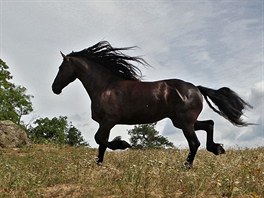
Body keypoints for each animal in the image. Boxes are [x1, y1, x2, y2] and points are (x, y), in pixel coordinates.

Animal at [52, 41, 252, 168]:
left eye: (61, 68)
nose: (55, 88)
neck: (105, 87)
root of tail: (196, 88)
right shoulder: (105, 123)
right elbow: (101, 144)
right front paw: (99, 165)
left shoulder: (109, 121)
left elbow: (99, 139)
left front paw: (123, 144)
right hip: (182, 122)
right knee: (209, 124)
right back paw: (217, 148)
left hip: (185, 123)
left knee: (194, 143)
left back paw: (186, 167)